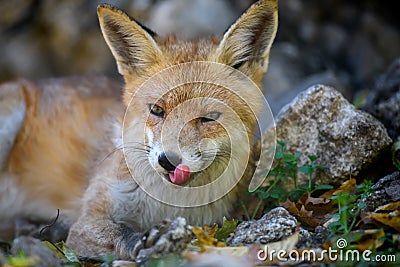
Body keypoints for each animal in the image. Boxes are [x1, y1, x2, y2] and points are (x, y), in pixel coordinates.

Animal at [0, 0, 278, 260]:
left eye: (209, 118)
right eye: (156, 110)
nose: (168, 161)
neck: (167, 204)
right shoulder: (87, 222)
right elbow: (121, 233)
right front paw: (145, 241)